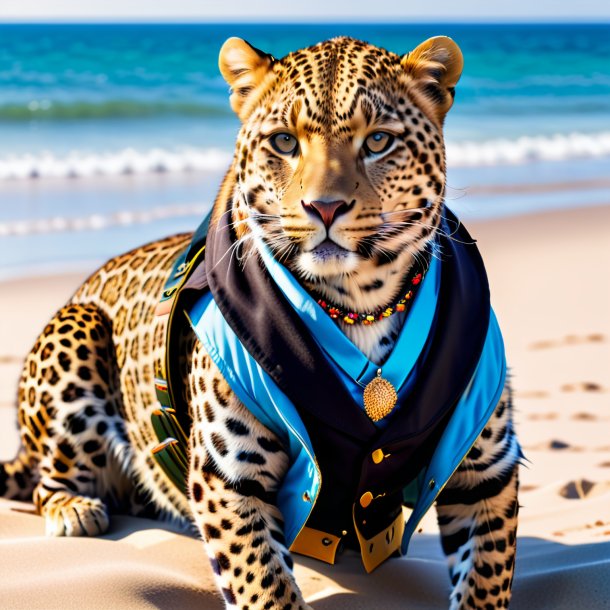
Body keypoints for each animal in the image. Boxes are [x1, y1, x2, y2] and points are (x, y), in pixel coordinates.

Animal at [2, 34, 520, 608]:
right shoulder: (231, 475)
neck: (359, 303)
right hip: (78, 330)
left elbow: (485, 582)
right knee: (50, 481)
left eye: (379, 141)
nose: (325, 207)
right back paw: (76, 510)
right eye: (285, 142)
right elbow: (264, 587)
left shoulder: (486, 471)